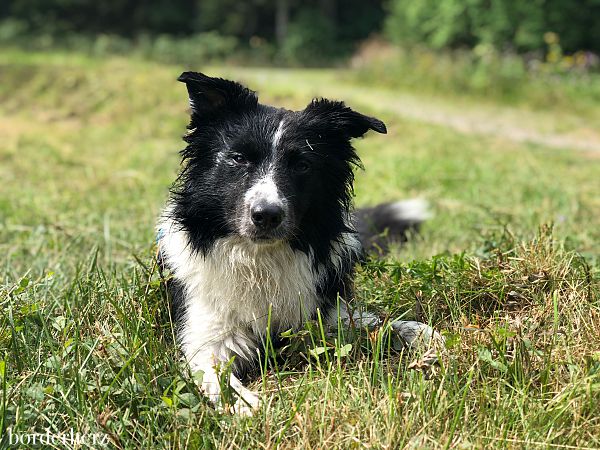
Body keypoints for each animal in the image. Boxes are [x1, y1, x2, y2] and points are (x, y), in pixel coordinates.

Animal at [157, 71, 442, 414]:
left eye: (302, 165)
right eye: (238, 159)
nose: (266, 215)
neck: (258, 259)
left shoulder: (324, 313)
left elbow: (375, 322)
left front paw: (419, 332)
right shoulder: (204, 338)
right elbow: (217, 376)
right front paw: (247, 406)